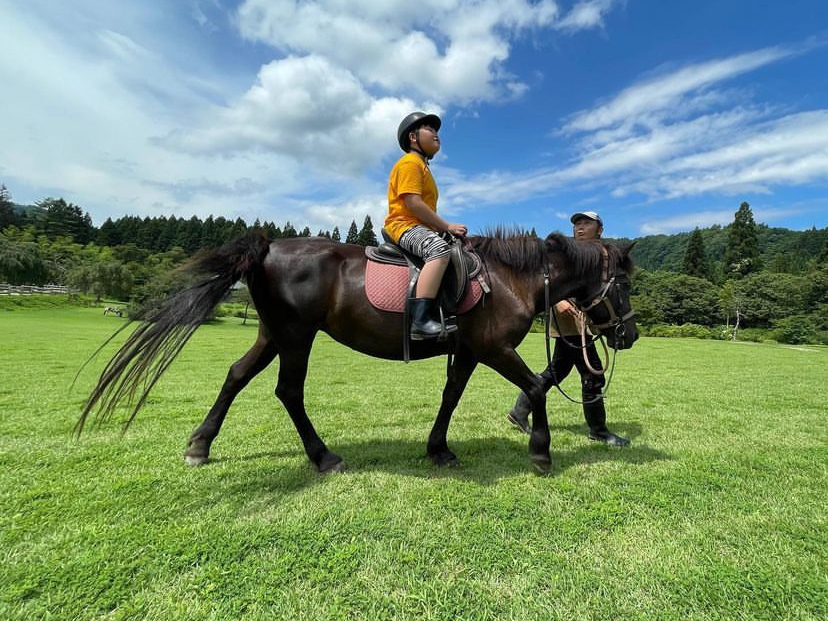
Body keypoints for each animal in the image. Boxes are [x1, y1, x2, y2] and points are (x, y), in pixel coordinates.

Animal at [77, 230, 638, 475]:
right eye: (627, 284)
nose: (629, 336)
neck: (507, 277)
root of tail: (270, 245)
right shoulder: (494, 347)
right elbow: (538, 386)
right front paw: (541, 451)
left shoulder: (469, 351)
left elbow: (451, 397)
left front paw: (438, 449)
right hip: (296, 335)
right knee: (288, 390)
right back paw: (322, 456)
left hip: (273, 333)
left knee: (236, 375)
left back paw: (200, 444)